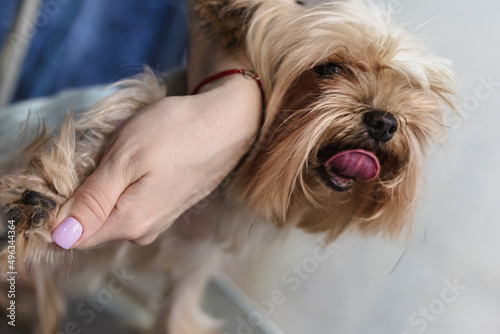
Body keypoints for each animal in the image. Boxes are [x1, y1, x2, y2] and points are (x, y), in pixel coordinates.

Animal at [0, 0, 458, 332]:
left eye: (406, 87)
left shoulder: (194, 265)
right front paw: (42, 200)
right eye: (329, 68)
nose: (386, 121)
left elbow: (178, 316)